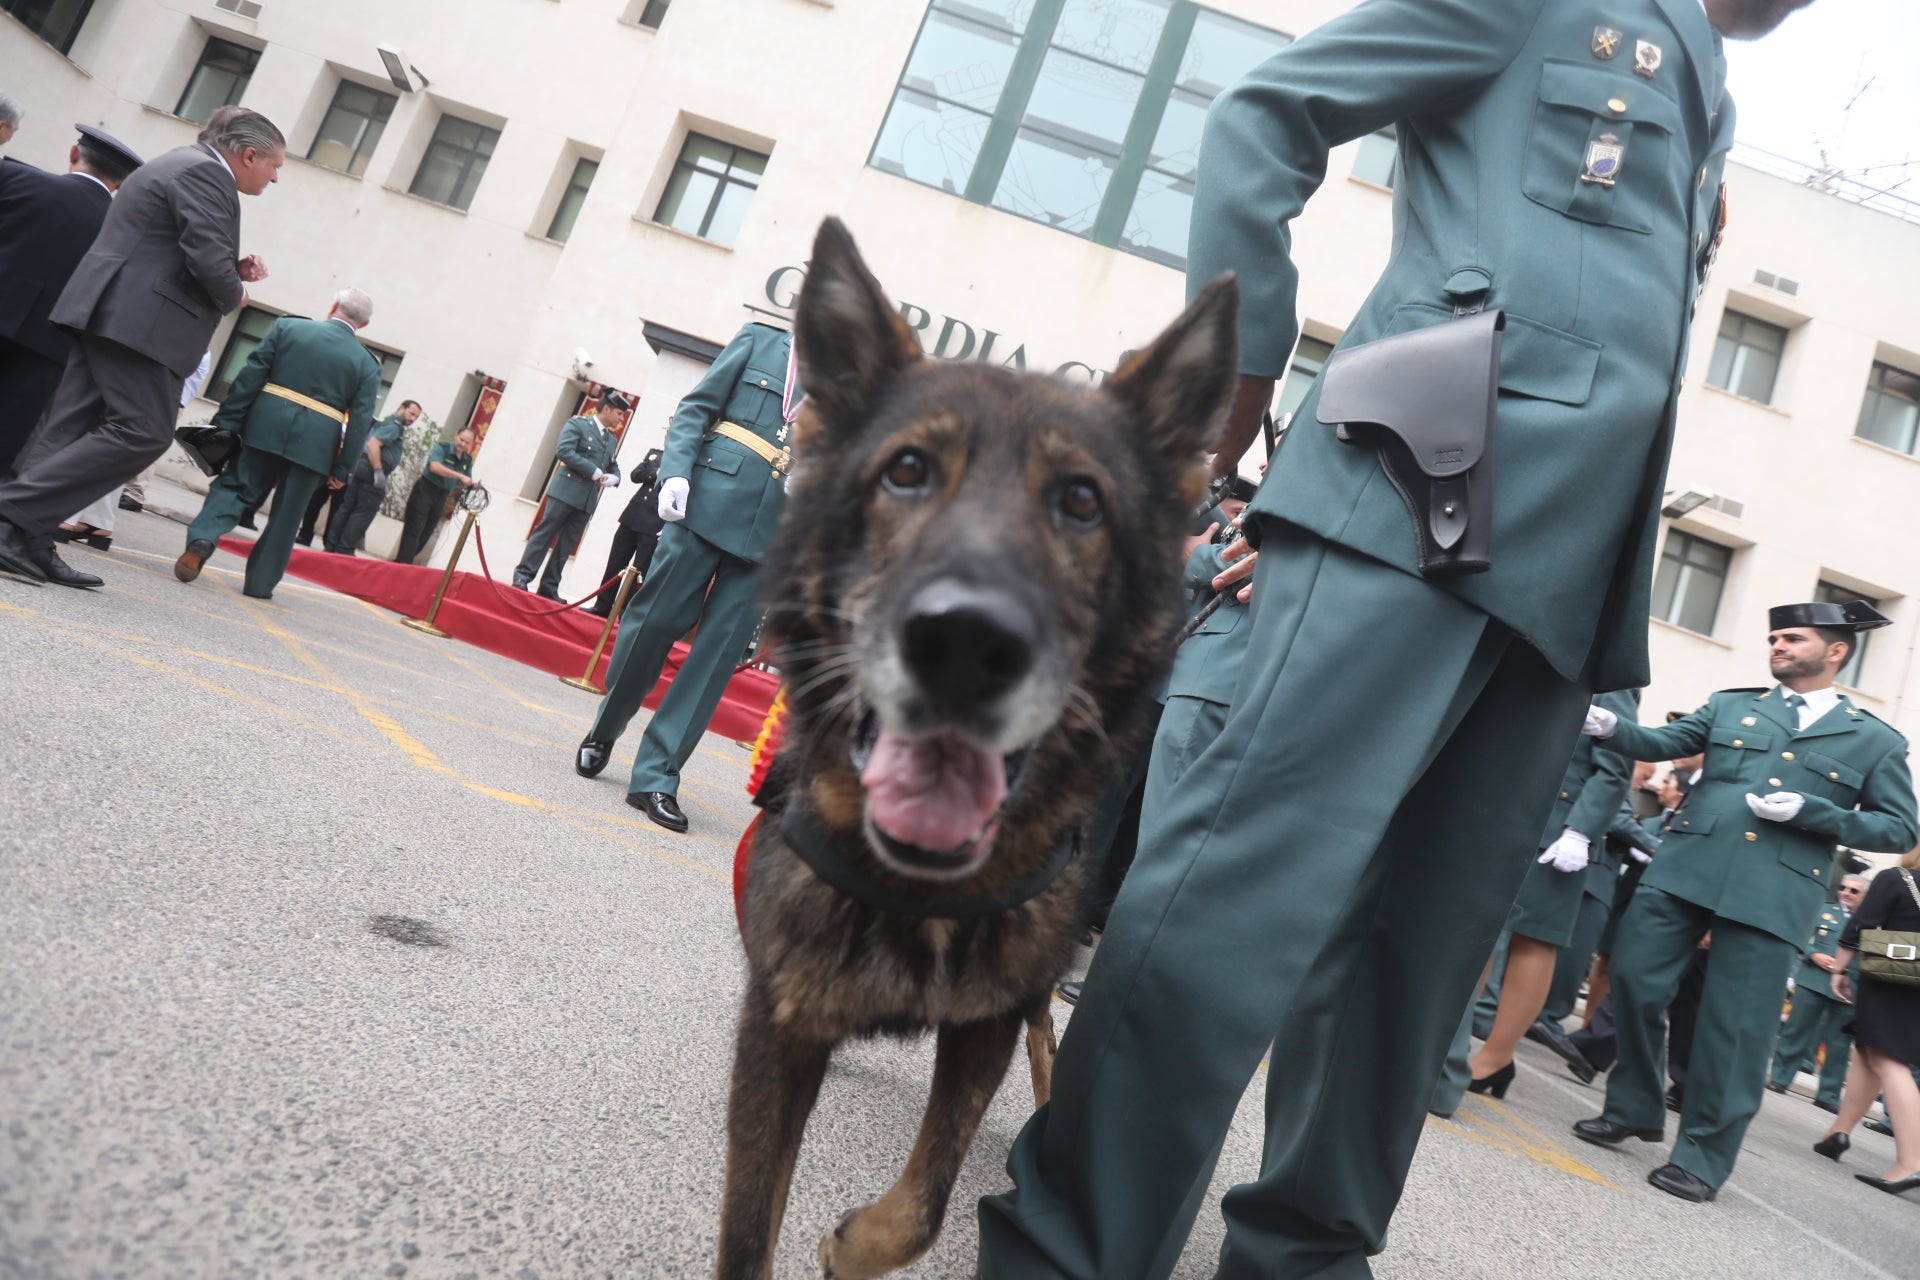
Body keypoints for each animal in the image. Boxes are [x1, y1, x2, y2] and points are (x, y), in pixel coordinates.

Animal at [714, 220, 1236, 1280]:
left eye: (1082, 500)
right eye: (906, 471)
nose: (964, 644)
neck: (914, 889)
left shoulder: (986, 1023)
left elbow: (924, 1202)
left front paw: (852, 1246)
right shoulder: (779, 1028)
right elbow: (751, 1230)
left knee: (1048, 1043)